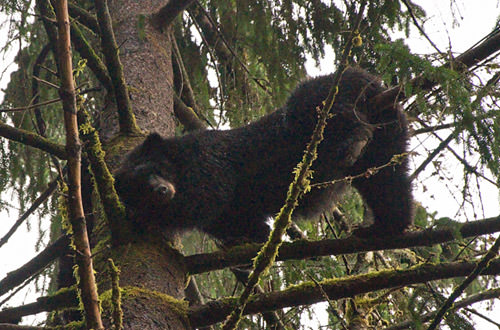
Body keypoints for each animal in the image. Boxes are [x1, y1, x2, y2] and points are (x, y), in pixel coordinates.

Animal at [114, 67, 414, 244]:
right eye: (137, 188)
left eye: (155, 169)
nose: (161, 191)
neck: (179, 161)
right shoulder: (228, 214)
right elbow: (236, 222)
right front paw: (259, 235)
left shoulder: (206, 159)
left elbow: (205, 198)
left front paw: (144, 219)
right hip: (389, 132)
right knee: (388, 183)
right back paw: (385, 226)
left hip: (322, 101)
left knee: (326, 110)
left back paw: (354, 141)